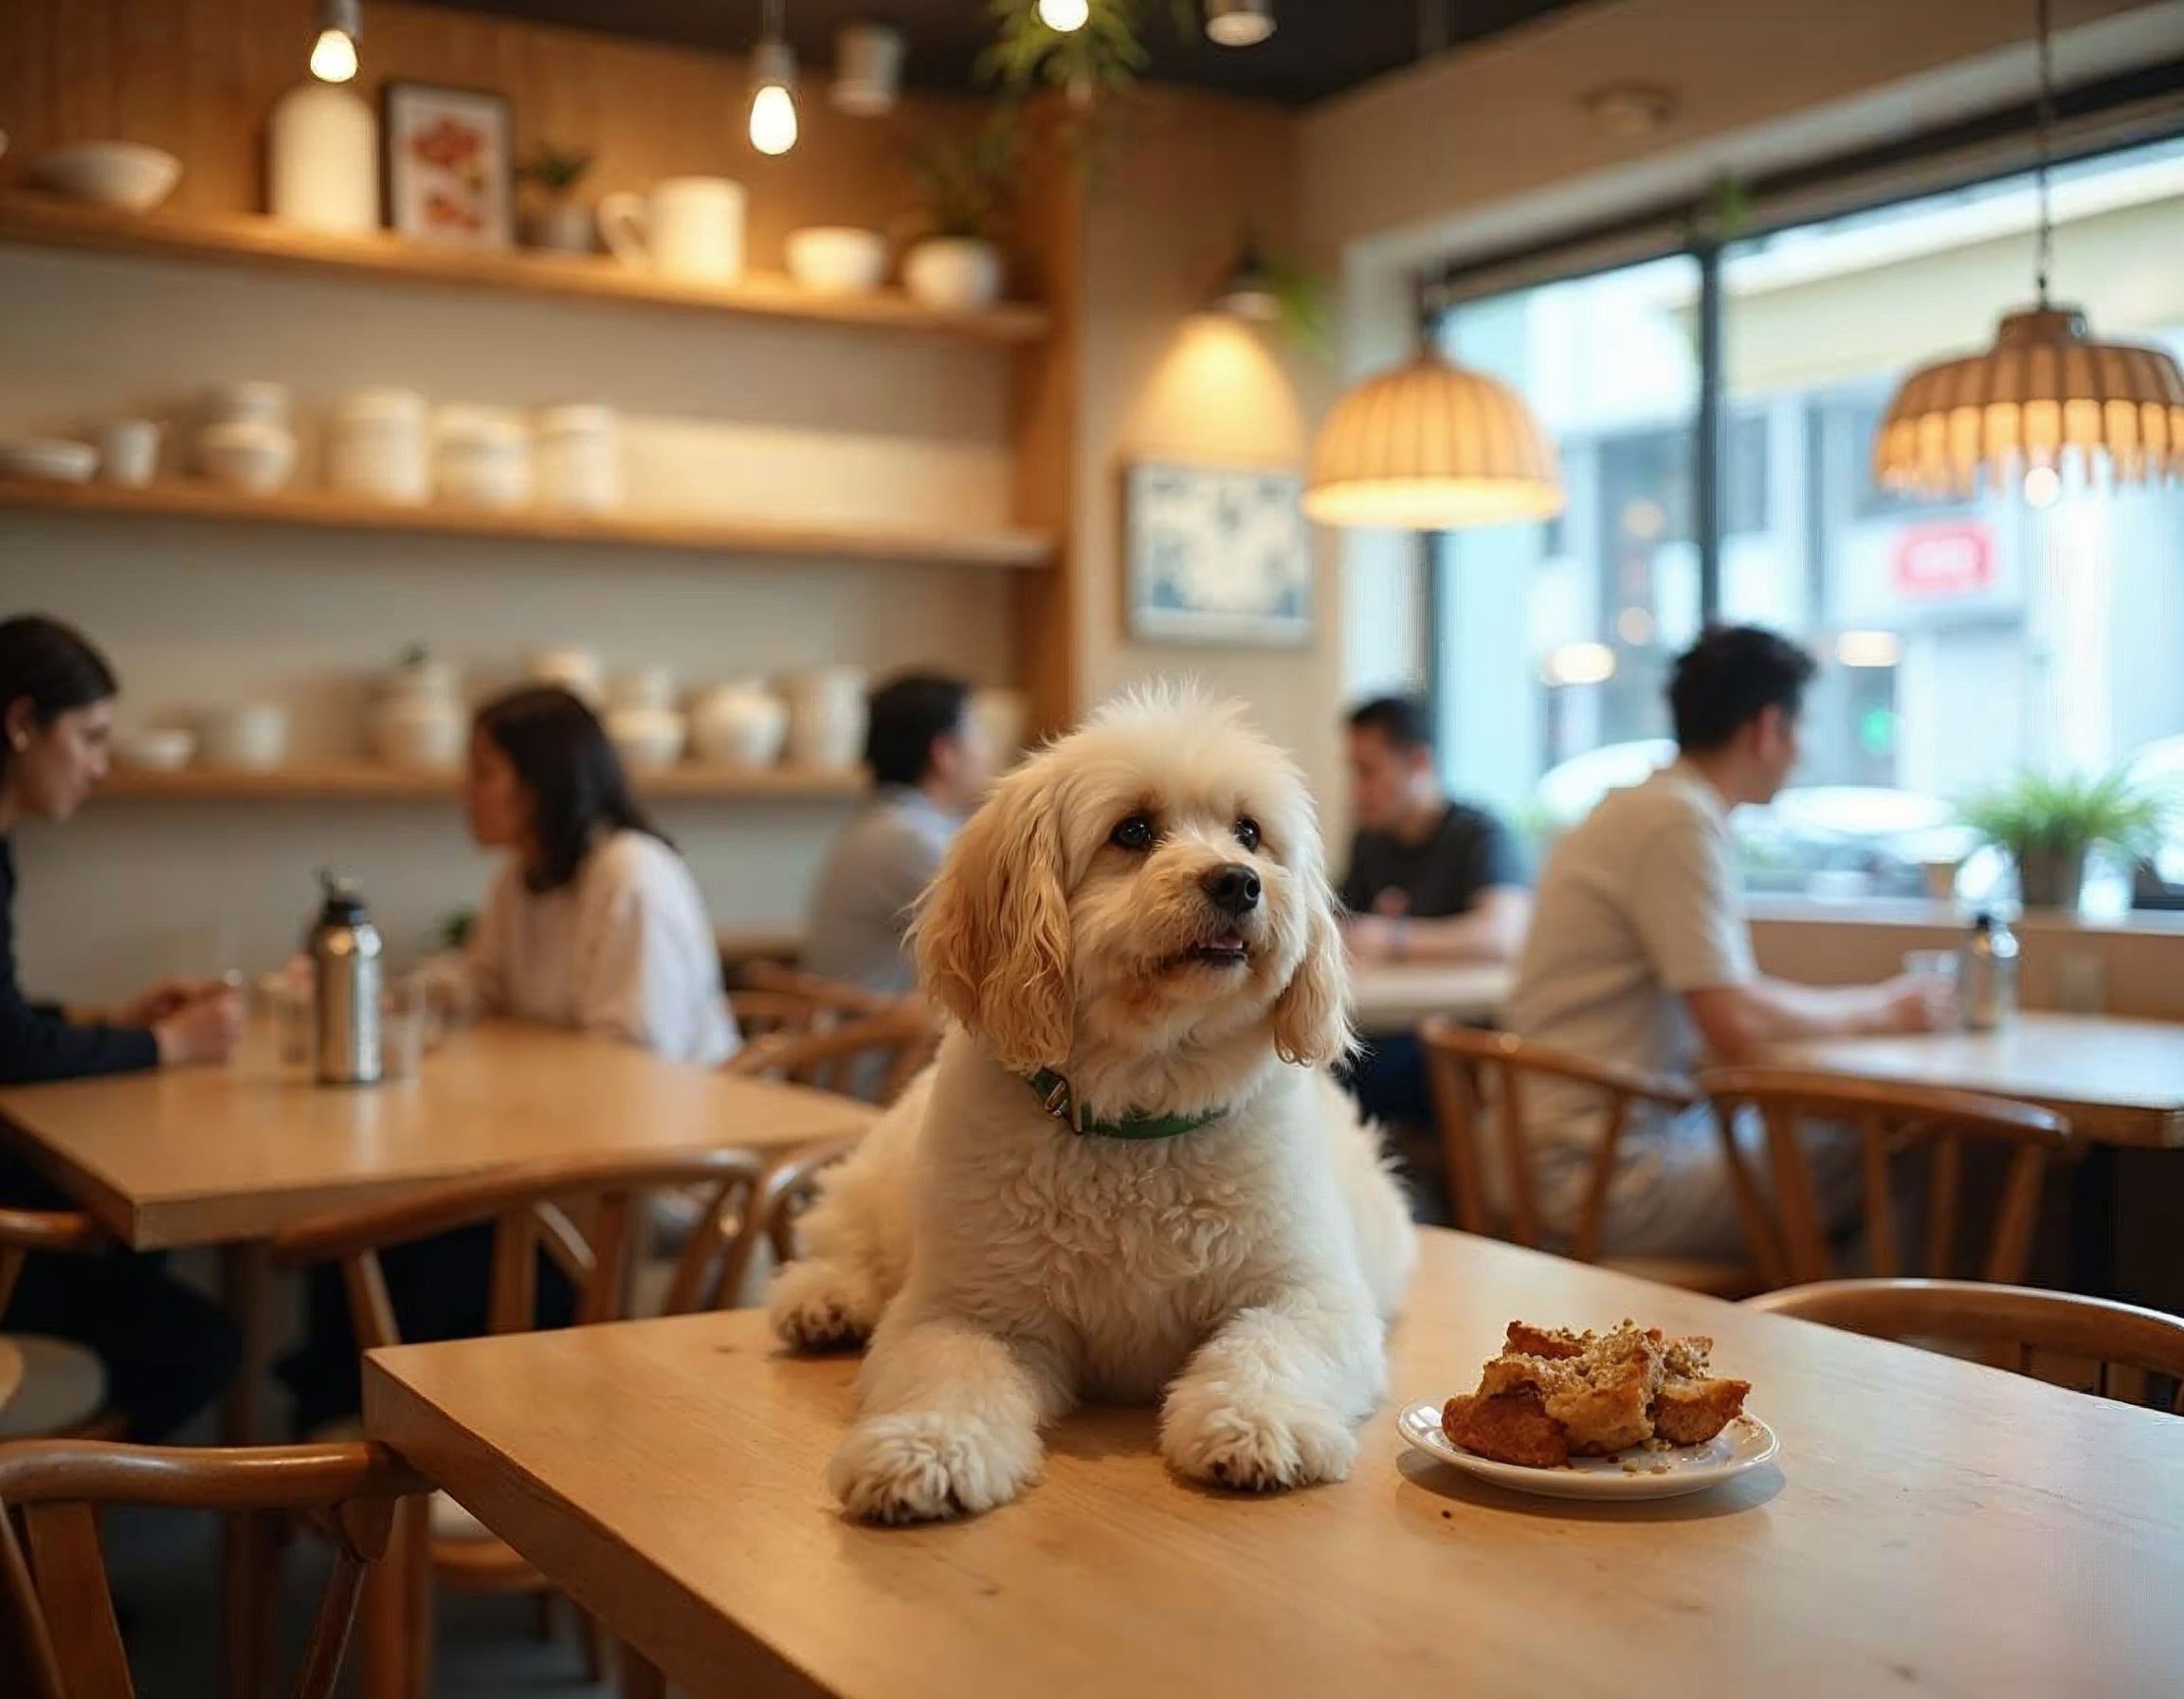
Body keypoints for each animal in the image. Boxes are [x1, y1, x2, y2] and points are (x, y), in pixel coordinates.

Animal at [769, 689, 1414, 1520]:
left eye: (1249, 832)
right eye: (1132, 831)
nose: (1239, 881)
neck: (1138, 1123)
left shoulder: (1308, 1293)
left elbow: (1268, 1351)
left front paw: (1257, 1422)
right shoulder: (968, 1309)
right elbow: (948, 1377)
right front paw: (926, 1447)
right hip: (882, 1179)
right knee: (841, 1235)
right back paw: (824, 1299)